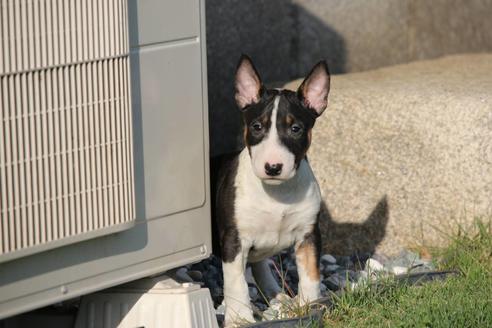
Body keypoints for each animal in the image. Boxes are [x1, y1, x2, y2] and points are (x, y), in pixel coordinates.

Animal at [215, 55, 330, 324]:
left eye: (296, 129)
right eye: (257, 126)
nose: (273, 167)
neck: (277, 193)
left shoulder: (309, 234)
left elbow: (311, 275)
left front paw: (308, 307)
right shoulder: (233, 240)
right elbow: (236, 283)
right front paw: (239, 320)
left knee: (260, 265)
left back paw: (277, 296)